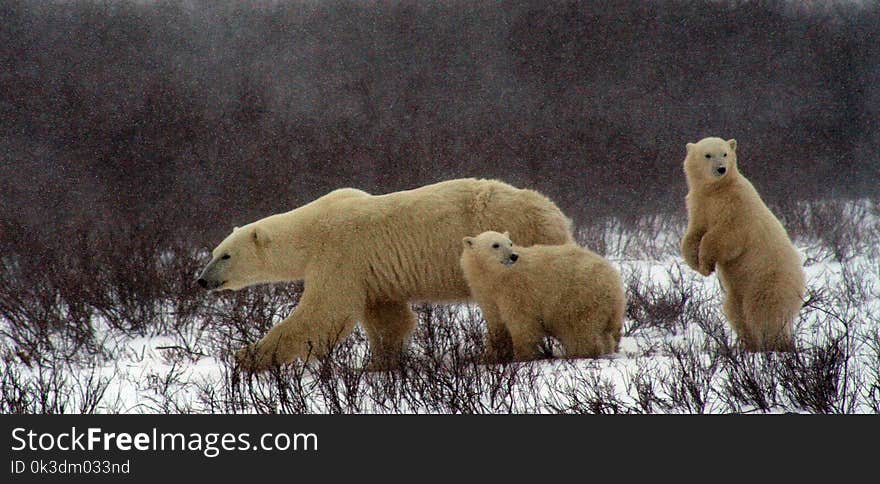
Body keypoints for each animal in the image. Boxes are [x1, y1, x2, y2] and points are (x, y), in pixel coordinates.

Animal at [196, 178, 576, 370]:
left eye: (225, 254)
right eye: (213, 253)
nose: (201, 280)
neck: (311, 229)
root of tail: (555, 214)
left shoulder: (340, 253)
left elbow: (323, 314)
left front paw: (248, 356)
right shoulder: (371, 271)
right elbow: (387, 317)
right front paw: (380, 362)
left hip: (516, 241)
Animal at [458, 232, 624, 364]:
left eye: (510, 243)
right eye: (495, 245)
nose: (513, 256)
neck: (497, 277)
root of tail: (615, 281)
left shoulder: (517, 290)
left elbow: (522, 322)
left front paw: (522, 357)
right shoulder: (488, 294)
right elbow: (496, 323)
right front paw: (490, 356)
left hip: (578, 297)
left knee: (579, 330)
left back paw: (580, 353)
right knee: (602, 332)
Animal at [680, 136, 804, 352]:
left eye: (725, 153)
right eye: (708, 155)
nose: (721, 169)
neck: (717, 190)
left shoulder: (737, 206)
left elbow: (724, 236)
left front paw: (705, 264)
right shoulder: (699, 204)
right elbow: (693, 233)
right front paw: (695, 262)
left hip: (767, 279)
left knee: (764, 311)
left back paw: (775, 345)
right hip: (737, 290)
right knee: (735, 311)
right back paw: (746, 345)